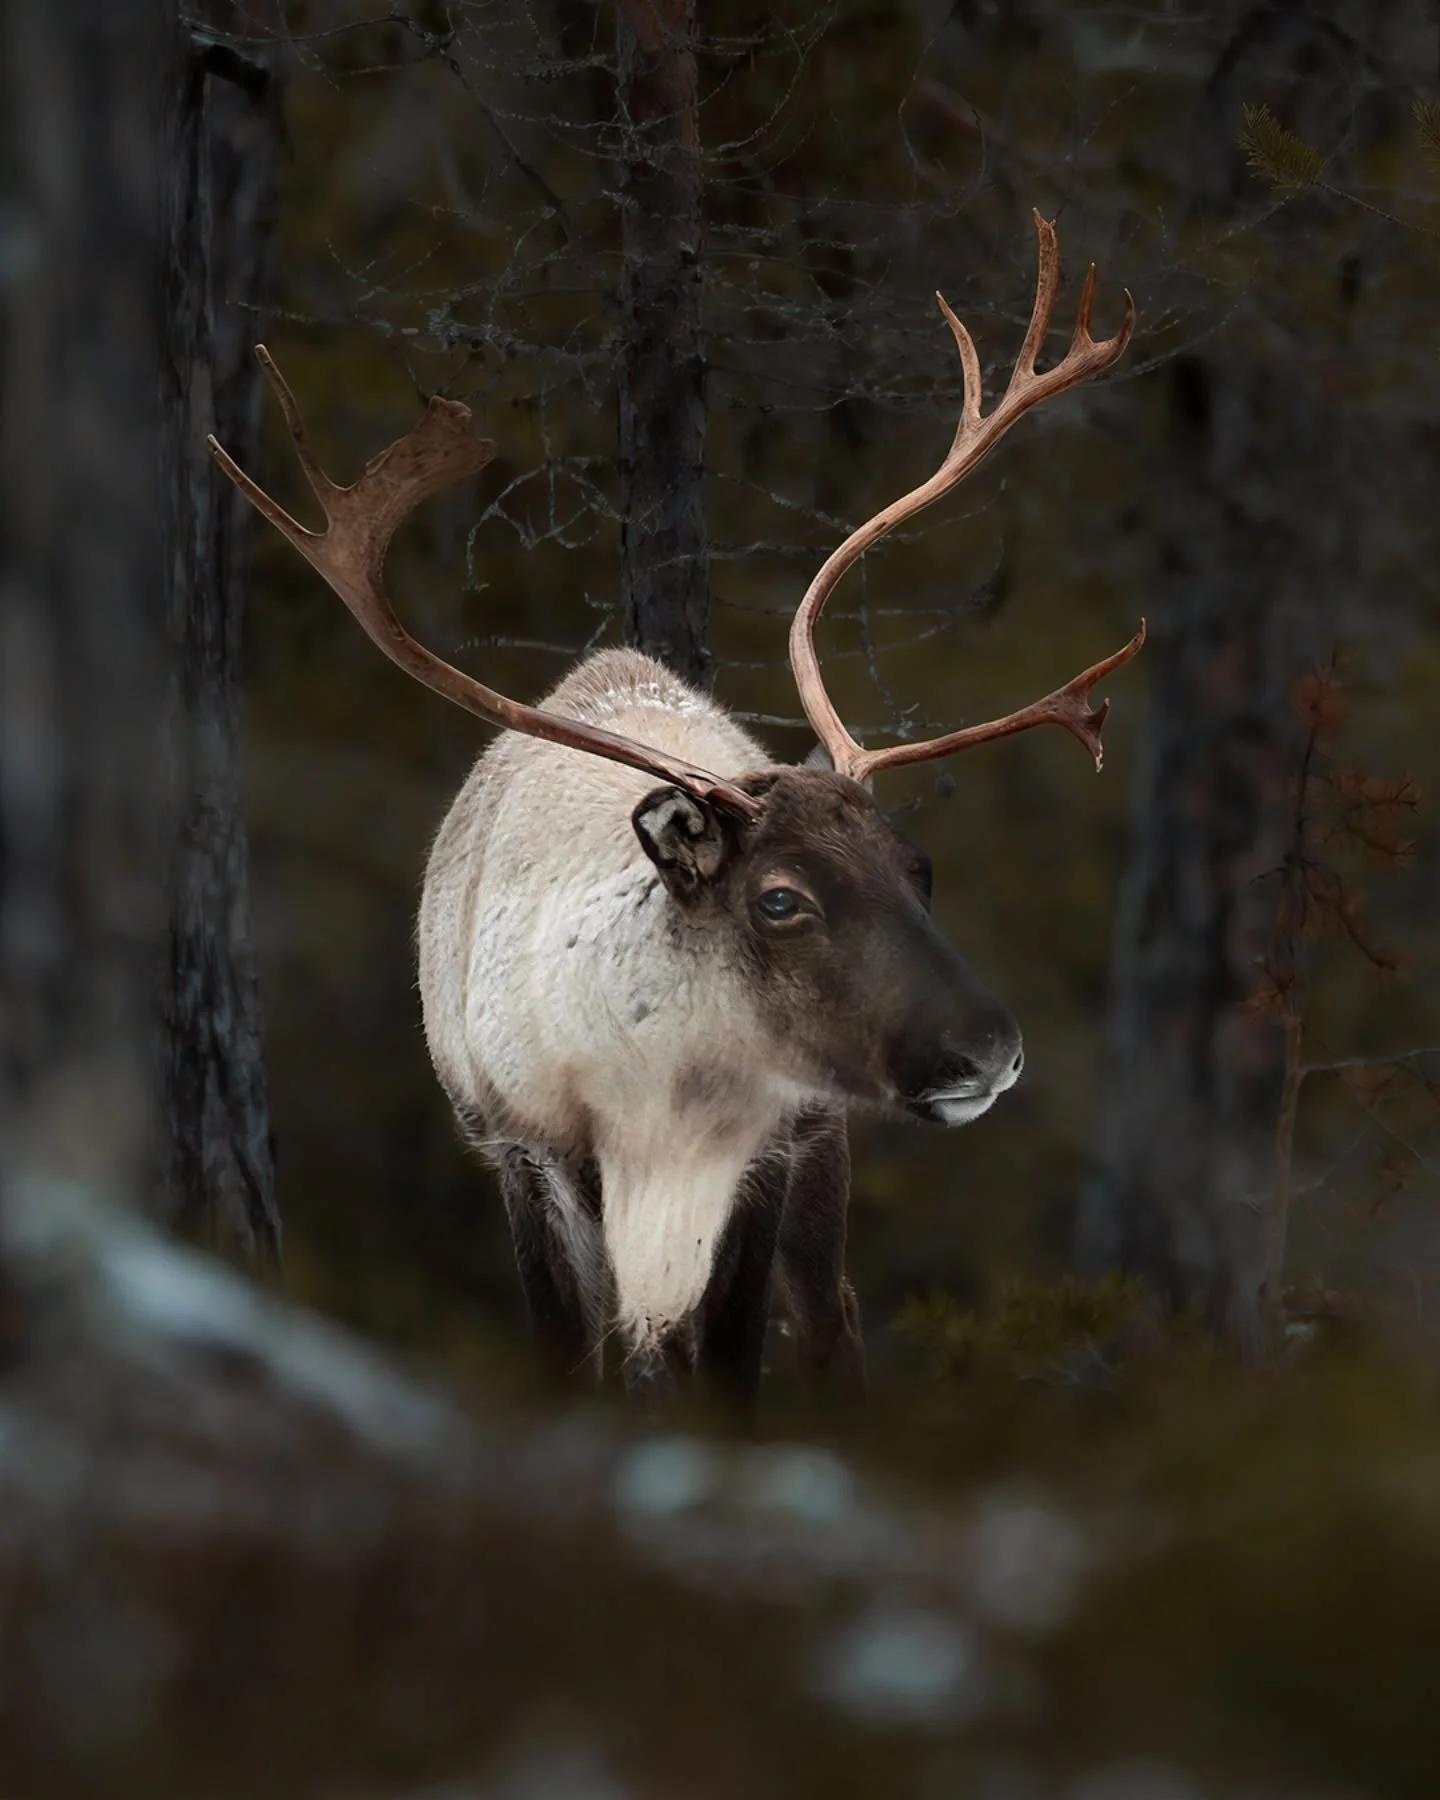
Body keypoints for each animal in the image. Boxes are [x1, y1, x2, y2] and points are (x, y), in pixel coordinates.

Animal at [210, 212, 1142, 1408]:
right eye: (780, 900)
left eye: (919, 867)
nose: (991, 1050)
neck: (665, 1108)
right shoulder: (530, 1154)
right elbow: (576, 1363)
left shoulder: (773, 1148)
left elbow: (732, 1365)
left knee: (830, 1320)